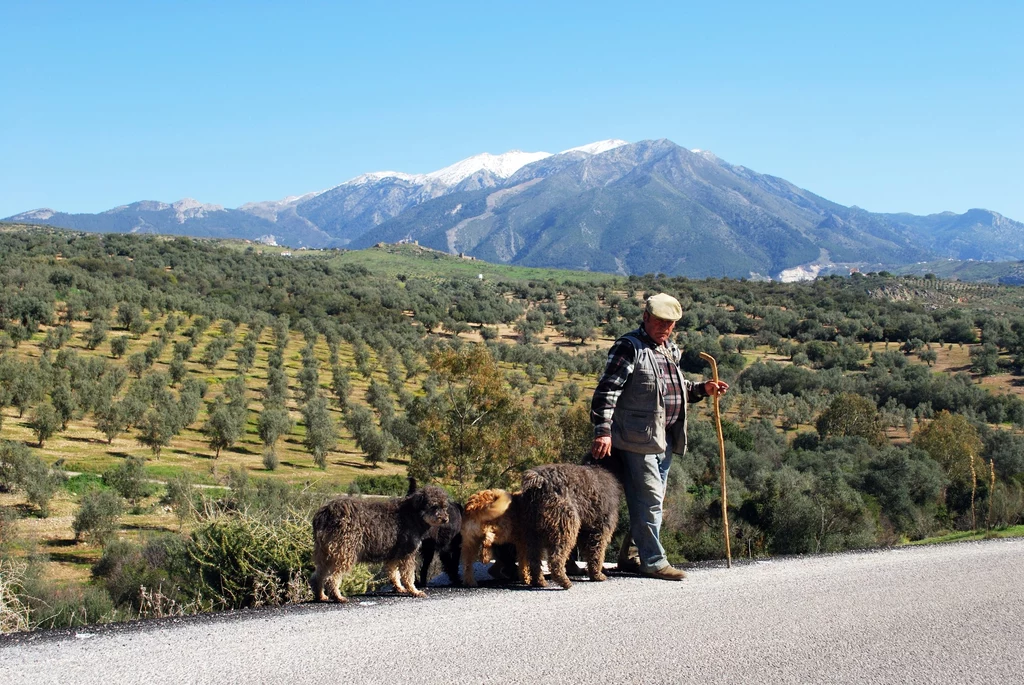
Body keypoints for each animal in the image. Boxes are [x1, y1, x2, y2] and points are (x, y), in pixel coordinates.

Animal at [309, 483, 450, 602]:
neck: (413, 514)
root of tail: (326, 513)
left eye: (444, 506)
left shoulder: (394, 555)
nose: (445, 519)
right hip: (344, 553)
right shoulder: (407, 554)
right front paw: (414, 591)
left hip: (326, 554)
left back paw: (321, 596)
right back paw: (338, 597)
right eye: (434, 506)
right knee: (332, 579)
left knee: (317, 577)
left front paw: (399, 588)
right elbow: (408, 576)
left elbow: (394, 574)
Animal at [464, 462, 622, 589]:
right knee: (555, 559)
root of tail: (539, 482)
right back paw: (563, 581)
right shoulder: (599, 530)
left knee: (533, 559)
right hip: (564, 527)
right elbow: (596, 553)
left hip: (532, 532)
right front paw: (597, 574)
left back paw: (537, 581)